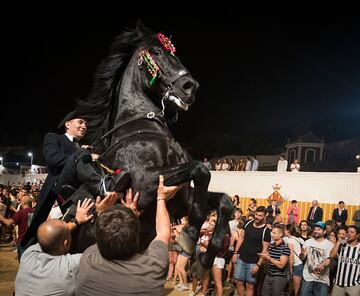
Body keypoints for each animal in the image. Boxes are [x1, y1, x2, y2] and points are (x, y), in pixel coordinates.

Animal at [67, 23, 233, 278]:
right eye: (156, 52)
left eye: (175, 53)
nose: (190, 87)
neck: (143, 125)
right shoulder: (144, 183)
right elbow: (200, 169)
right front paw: (190, 234)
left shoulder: (181, 198)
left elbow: (224, 201)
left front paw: (204, 260)